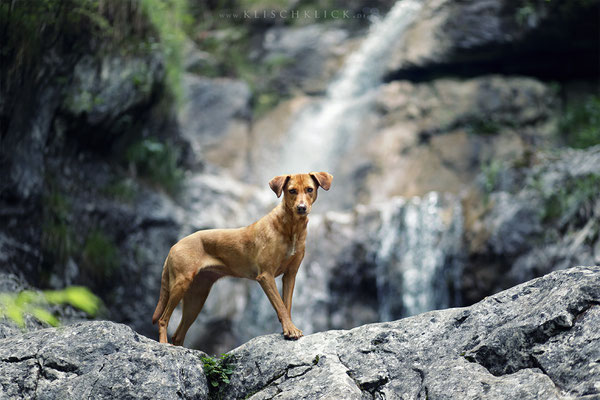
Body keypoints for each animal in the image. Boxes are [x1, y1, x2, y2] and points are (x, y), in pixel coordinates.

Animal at [152, 170, 332, 346]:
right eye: (292, 191)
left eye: (309, 189)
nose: (301, 208)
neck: (291, 227)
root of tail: (174, 246)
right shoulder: (265, 276)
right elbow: (280, 306)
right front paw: (290, 329)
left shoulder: (290, 275)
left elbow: (286, 306)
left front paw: (289, 329)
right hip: (181, 284)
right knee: (163, 320)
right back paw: (163, 344)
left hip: (196, 297)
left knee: (178, 335)